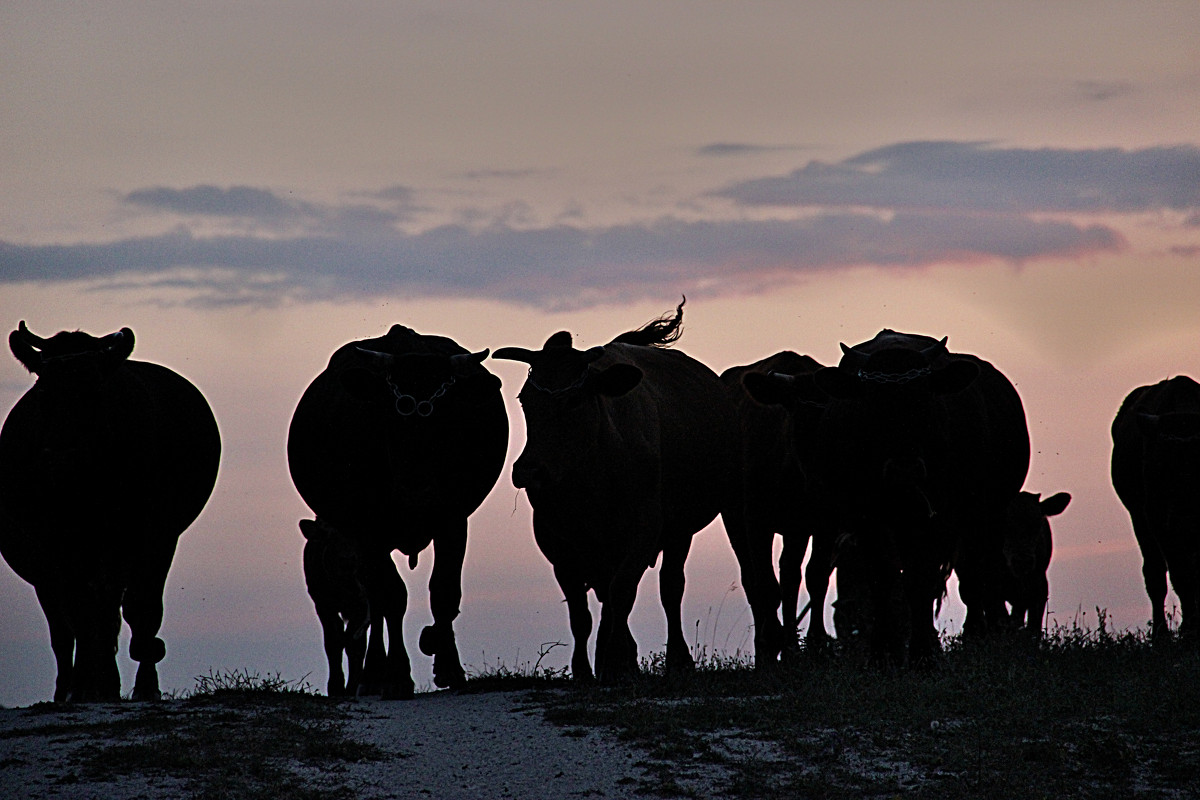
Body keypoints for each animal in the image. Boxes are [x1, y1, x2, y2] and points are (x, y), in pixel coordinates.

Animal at [0, 321, 220, 705]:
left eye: (95, 391)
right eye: (44, 391)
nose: (62, 460)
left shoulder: (153, 534)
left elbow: (139, 607)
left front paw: (143, 682)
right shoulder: (54, 544)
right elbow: (81, 613)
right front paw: (89, 686)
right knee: (69, 628)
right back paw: (75, 687)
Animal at [289, 321, 506, 695]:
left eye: (445, 408)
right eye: (395, 408)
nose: (417, 480)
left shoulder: (453, 518)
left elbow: (444, 591)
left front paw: (448, 666)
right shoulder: (367, 528)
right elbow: (391, 597)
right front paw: (397, 674)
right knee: (377, 602)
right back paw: (375, 674)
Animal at [489, 299, 758, 681]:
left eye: (574, 400)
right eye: (525, 399)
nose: (528, 469)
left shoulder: (644, 529)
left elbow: (621, 595)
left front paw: (615, 663)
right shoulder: (557, 543)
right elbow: (581, 613)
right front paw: (587, 670)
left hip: (683, 528)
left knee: (669, 587)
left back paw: (677, 659)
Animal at [744, 328, 1027, 666]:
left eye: (925, 399)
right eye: (873, 404)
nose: (905, 469)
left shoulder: (936, 518)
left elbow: (921, 577)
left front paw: (921, 652)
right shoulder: (863, 518)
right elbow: (882, 576)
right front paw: (882, 651)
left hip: (988, 511)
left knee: (982, 567)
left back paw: (985, 631)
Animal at [1108, 379, 1200, 642]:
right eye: (1159, 467)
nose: (1181, 521)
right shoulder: (1157, 520)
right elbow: (1180, 575)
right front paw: (1189, 630)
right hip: (1140, 518)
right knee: (1155, 574)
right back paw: (1160, 633)